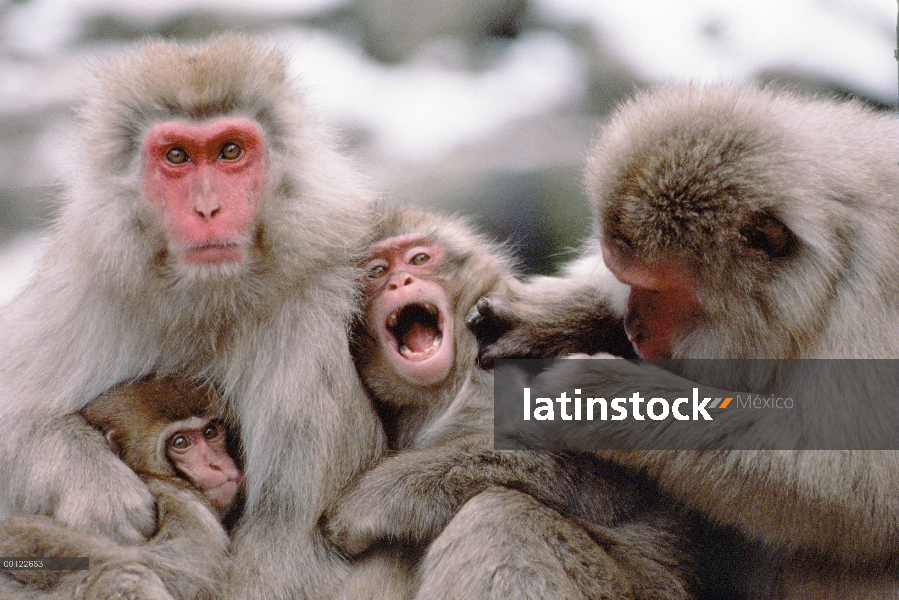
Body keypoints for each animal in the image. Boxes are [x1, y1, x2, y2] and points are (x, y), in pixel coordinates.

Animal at [0, 35, 384, 596]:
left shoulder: (314, 331)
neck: (211, 297)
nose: (207, 209)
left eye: (230, 151)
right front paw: (98, 487)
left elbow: (289, 546)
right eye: (177, 156)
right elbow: (13, 413)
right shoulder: (89, 287)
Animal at [326, 206, 700, 600]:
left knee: (499, 515)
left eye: (420, 259)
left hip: (625, 587)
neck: (447, 388)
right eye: (377, 272)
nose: (399, 283)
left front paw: (374, 501)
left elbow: (604, 479)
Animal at [468, 82, 899, 596]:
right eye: (624, 279)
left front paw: (602, 400)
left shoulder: (873, 297)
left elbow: (861, 487)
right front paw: (544, 320)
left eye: (656, 290)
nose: (633, 327)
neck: (825, 276)